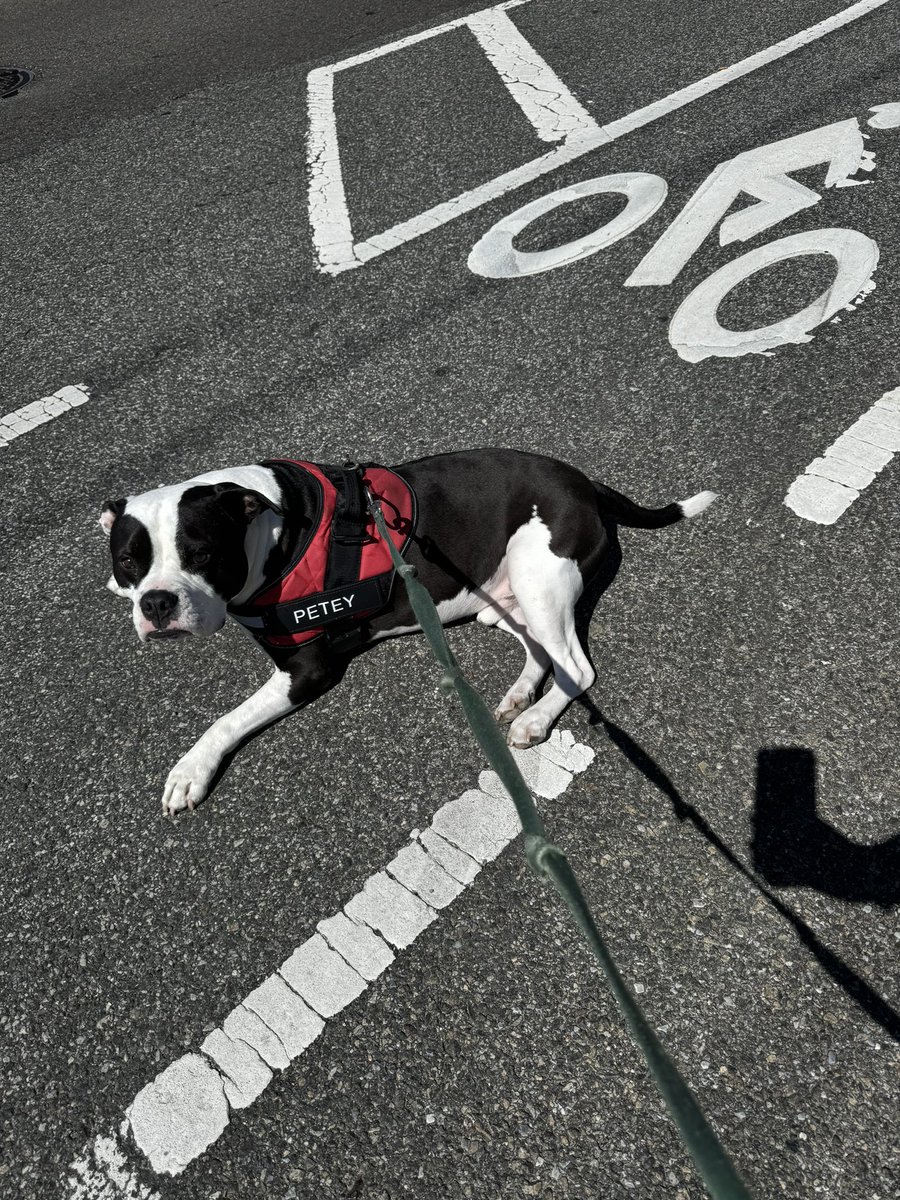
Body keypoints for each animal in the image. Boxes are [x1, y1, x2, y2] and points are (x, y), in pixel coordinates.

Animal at [100, 448, 720, 816]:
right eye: (128, 562)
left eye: (202, 553)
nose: (156, 602)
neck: (272, 527)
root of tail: (585, 482)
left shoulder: (306, 669)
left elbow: (226, 718)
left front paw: (190, 771)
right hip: (500, 600)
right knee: (544, 653)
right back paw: (521, 696)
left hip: (537, 574)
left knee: (578, 667)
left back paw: (536, 720)